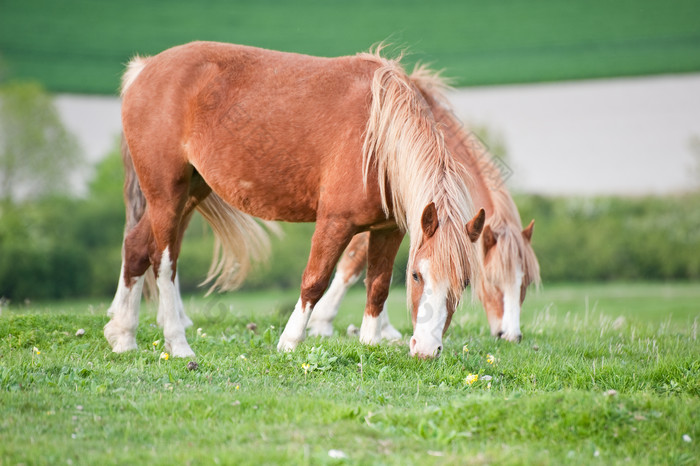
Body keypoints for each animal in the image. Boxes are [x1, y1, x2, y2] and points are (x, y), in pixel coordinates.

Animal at [104, 41, 484, 358]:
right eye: (417, 276)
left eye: (464, 282)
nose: (427, 350)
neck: (378, 139)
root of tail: (145, 68)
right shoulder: (335, 222)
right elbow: (315, 280)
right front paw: (290, 341)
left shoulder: (388, 230)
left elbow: (377, 287)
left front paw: (369, 343)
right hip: (167, 193)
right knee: (163, 260)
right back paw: (178, 343)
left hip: (189, 191)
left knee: (136, 248)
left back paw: (123, 337)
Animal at [306, 66, 540, 342]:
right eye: (492, 280)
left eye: (525, 283)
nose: (511, 335)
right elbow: (355, 261)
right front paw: (322, 322)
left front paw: (381, 328)